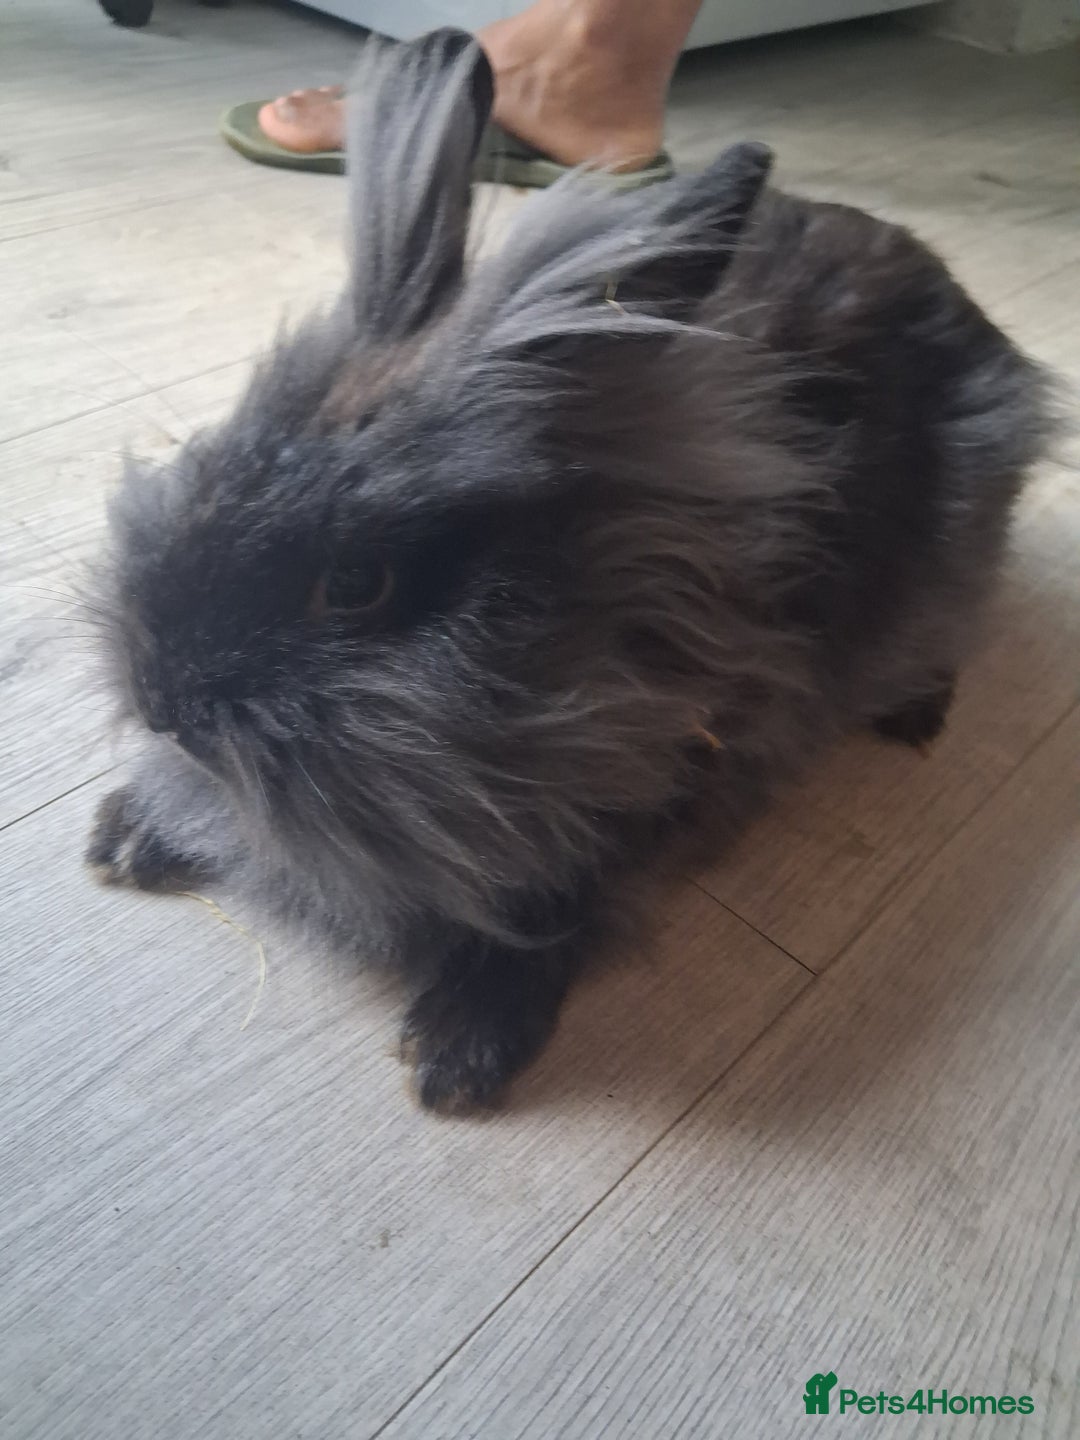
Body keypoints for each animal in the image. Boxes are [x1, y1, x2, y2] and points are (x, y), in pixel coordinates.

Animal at [86, 28, 1053, 1113]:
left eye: (359, 584)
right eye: (215, 454)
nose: (162, 702)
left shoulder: (671, 788)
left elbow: (560, 910)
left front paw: (457, 1051)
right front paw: (125, 835)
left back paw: (916, 718)